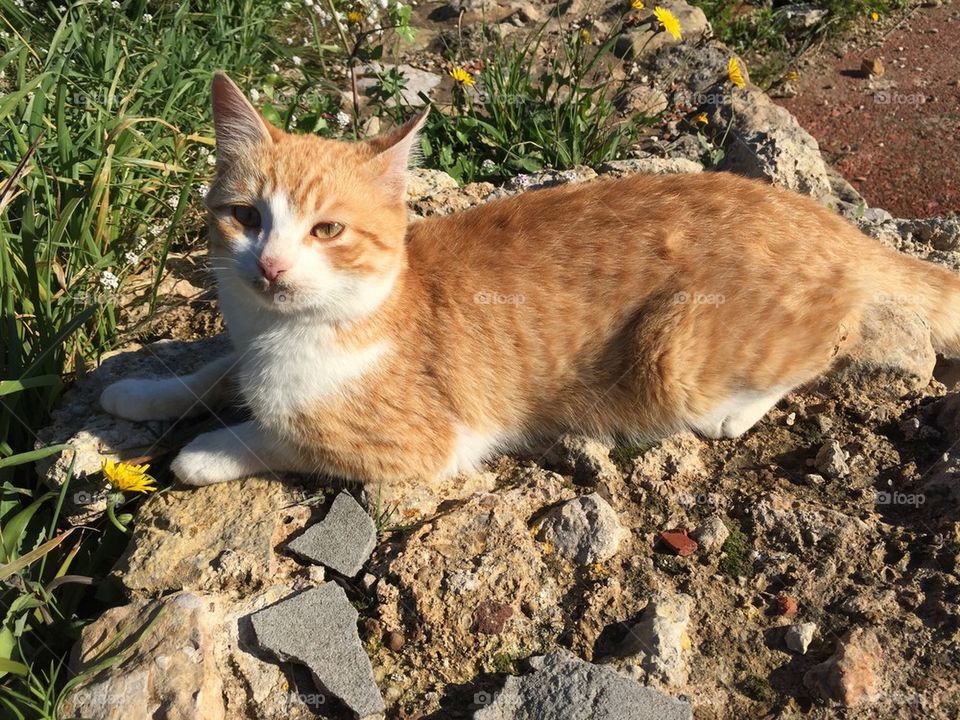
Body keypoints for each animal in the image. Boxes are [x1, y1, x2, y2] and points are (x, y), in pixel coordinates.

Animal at [97, 73, 960, 490]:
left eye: (327, 231)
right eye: (245, 216)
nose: (271, 267)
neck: (286, 331)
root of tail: (820, 214)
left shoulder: (421, 445)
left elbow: (276, 436)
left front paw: (202, 452)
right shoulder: (242, 345)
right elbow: (213, 369)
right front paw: (141, 392)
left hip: (678, 356)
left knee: (831, 342)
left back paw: (736, 411)